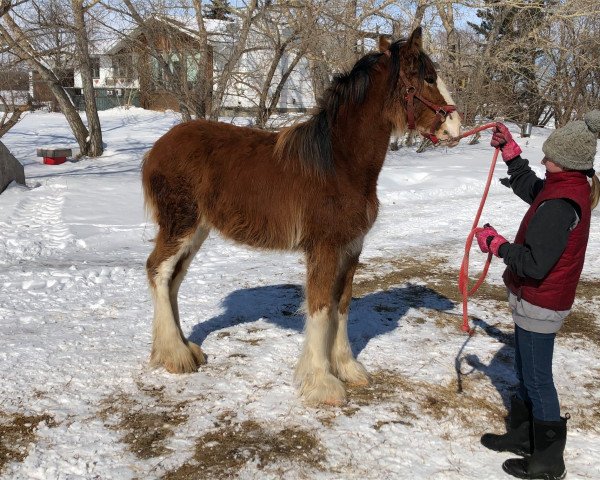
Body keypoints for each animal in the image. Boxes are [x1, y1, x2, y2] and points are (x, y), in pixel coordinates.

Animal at [143, 27, 462, 404]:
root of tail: (157, 149)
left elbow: (342, 304)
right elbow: (321, 306)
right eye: (428, 78)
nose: (456, 127)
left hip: (198, 231)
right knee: (159, 272)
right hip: (180, 225)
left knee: (174, 279)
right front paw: (322, 382)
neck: (339, 163)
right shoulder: (323, 248)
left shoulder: (351, 247)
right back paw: (175, 355)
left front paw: (347, 368)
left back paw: (182, 348)